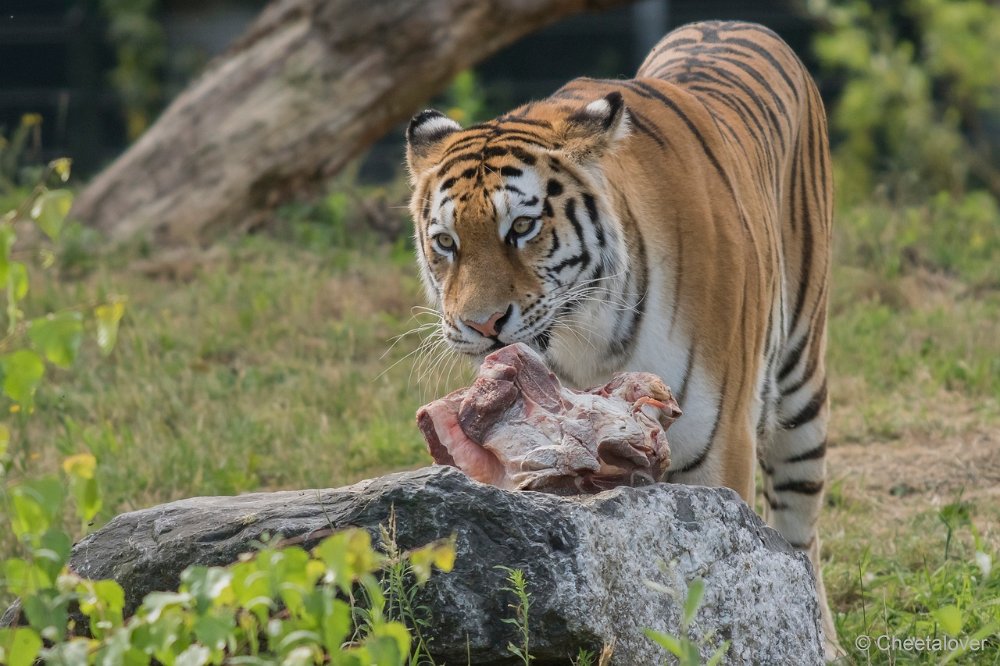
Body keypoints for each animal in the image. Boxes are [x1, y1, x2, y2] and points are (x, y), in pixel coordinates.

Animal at [408, 19, 844, 652]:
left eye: (522, 226)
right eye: (446, 241)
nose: (481, 325)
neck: (586, 335)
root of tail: (732, 22)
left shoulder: (720, 450)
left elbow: (721, 574)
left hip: (800, 386)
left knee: (798, 528)